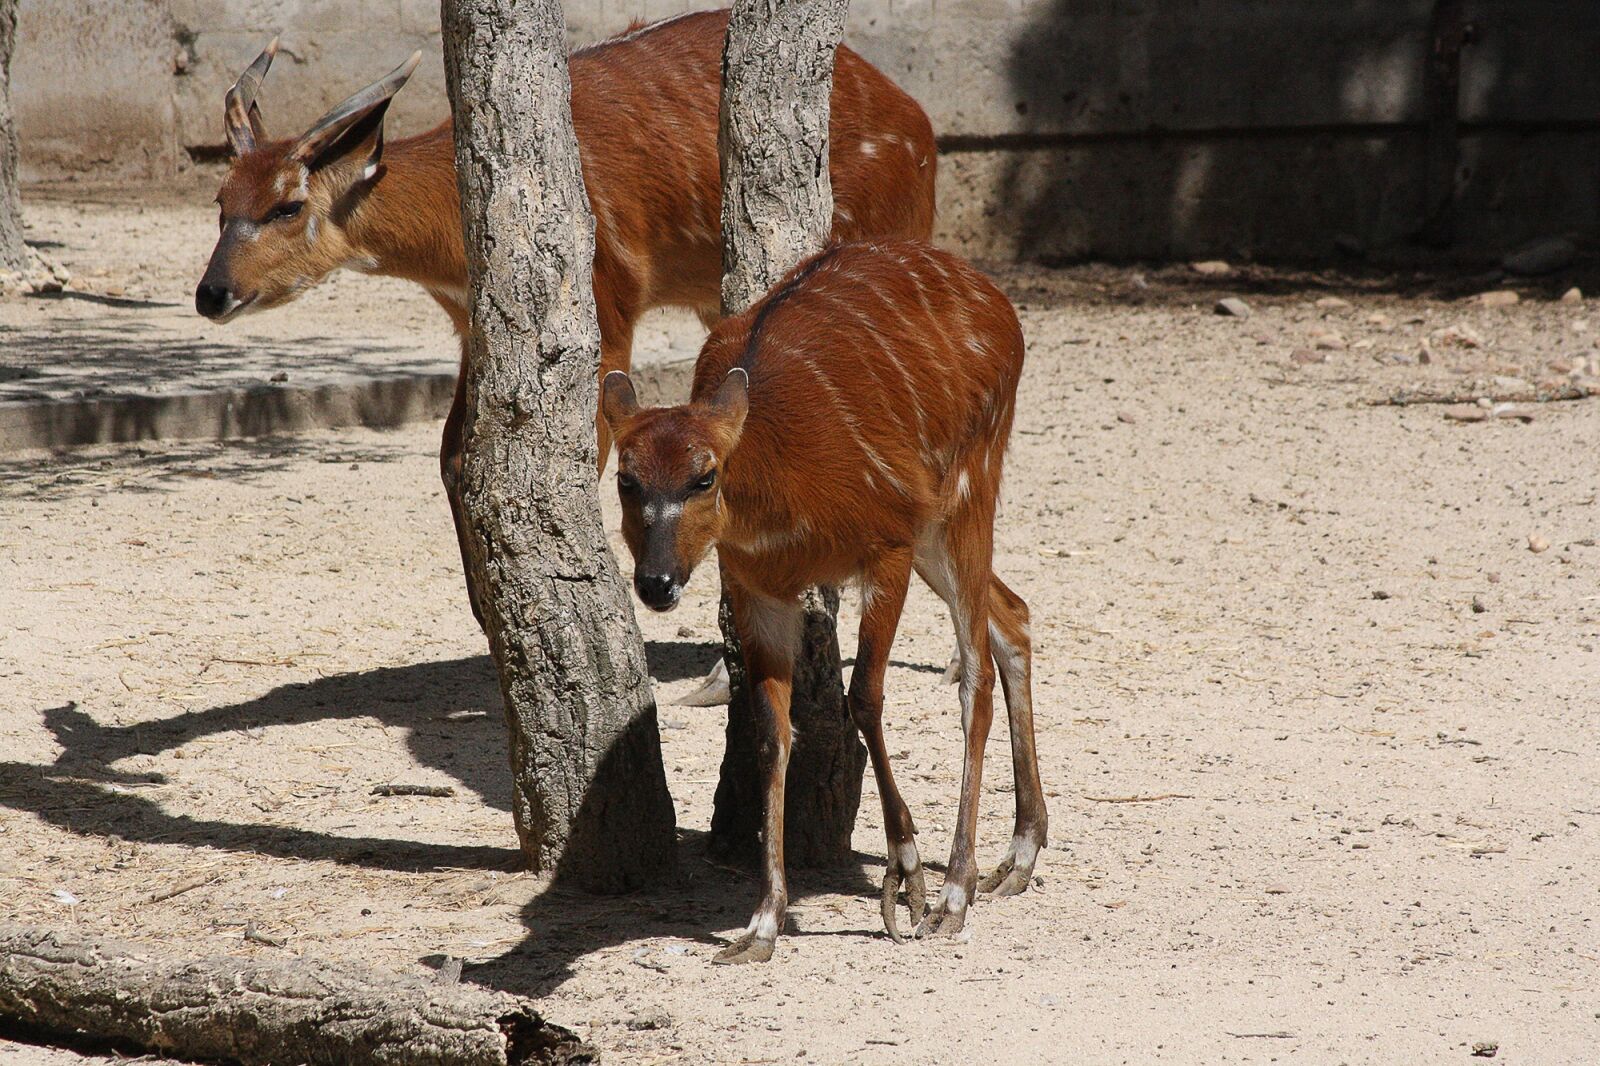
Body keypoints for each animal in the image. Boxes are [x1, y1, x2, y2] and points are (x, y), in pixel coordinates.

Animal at [195, 10, 937, 628]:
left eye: (287, 205)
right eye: (221, 200)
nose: (211, 293)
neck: (455, 237)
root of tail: (921, 128)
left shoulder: (606, 310)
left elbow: (588, 452)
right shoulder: (473, 327)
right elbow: (456, 454)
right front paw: (489, 615)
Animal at [600, 239, 1047, 962]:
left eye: (704, 476)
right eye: (626, 479)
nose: (657, 583)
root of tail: (1001, 303)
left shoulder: (885, 544)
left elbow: (862, 695)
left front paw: (907, 880)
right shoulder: (757, 587)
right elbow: (772, 731)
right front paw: (761, 925)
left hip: (966, 485)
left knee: (974, 670)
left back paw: (956, 892)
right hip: (936, 526)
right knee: (1014, 616)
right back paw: (1020, 857)